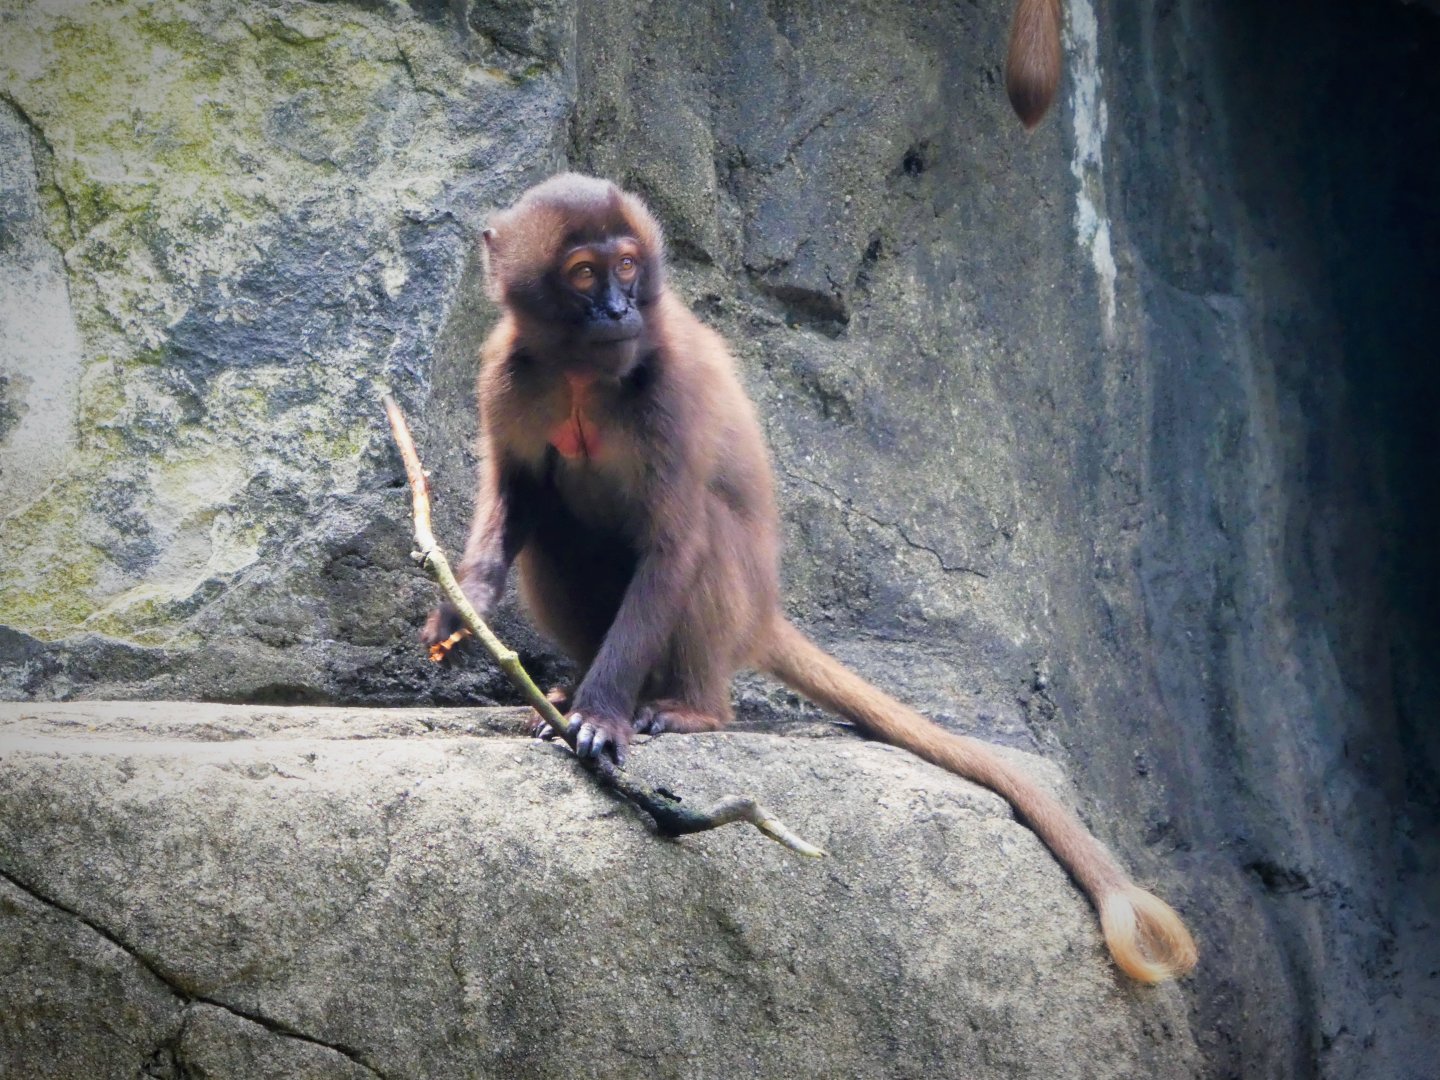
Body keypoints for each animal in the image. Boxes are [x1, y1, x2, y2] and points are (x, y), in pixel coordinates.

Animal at [421, 174, 1197, 983]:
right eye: (583, 273)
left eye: (627, 265)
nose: (618, 310)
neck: (580, 373)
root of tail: (765, 618)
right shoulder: (506, 372)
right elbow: (520, 495)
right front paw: (462, 610)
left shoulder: (669, 386)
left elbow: (674, 541)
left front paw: (602, 715)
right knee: (557, 530)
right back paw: (572, 682)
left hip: (736, 608)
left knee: (702, 536)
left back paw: (694, 708)